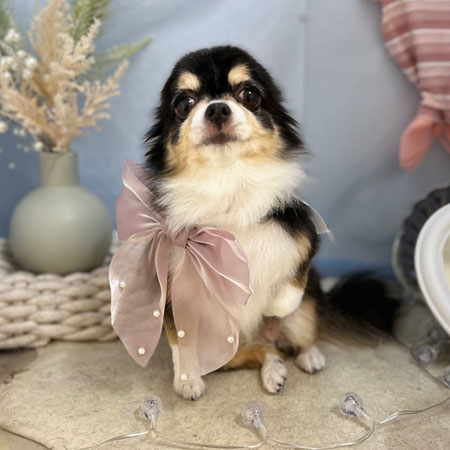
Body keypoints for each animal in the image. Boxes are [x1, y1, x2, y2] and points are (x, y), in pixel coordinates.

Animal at [144, 46, 398, 400]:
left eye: (250, 95)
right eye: (184, 104)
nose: (217, 108)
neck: (229, 192)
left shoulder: (303, 231)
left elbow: (295, 279)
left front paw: (275, 305)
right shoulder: (172, 288)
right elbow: (179, 342)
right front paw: (187, 379)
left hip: (306, 313)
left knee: (298, 335)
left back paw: (308, 356)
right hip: (223, 347)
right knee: (264, 351)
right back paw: (273, 370)